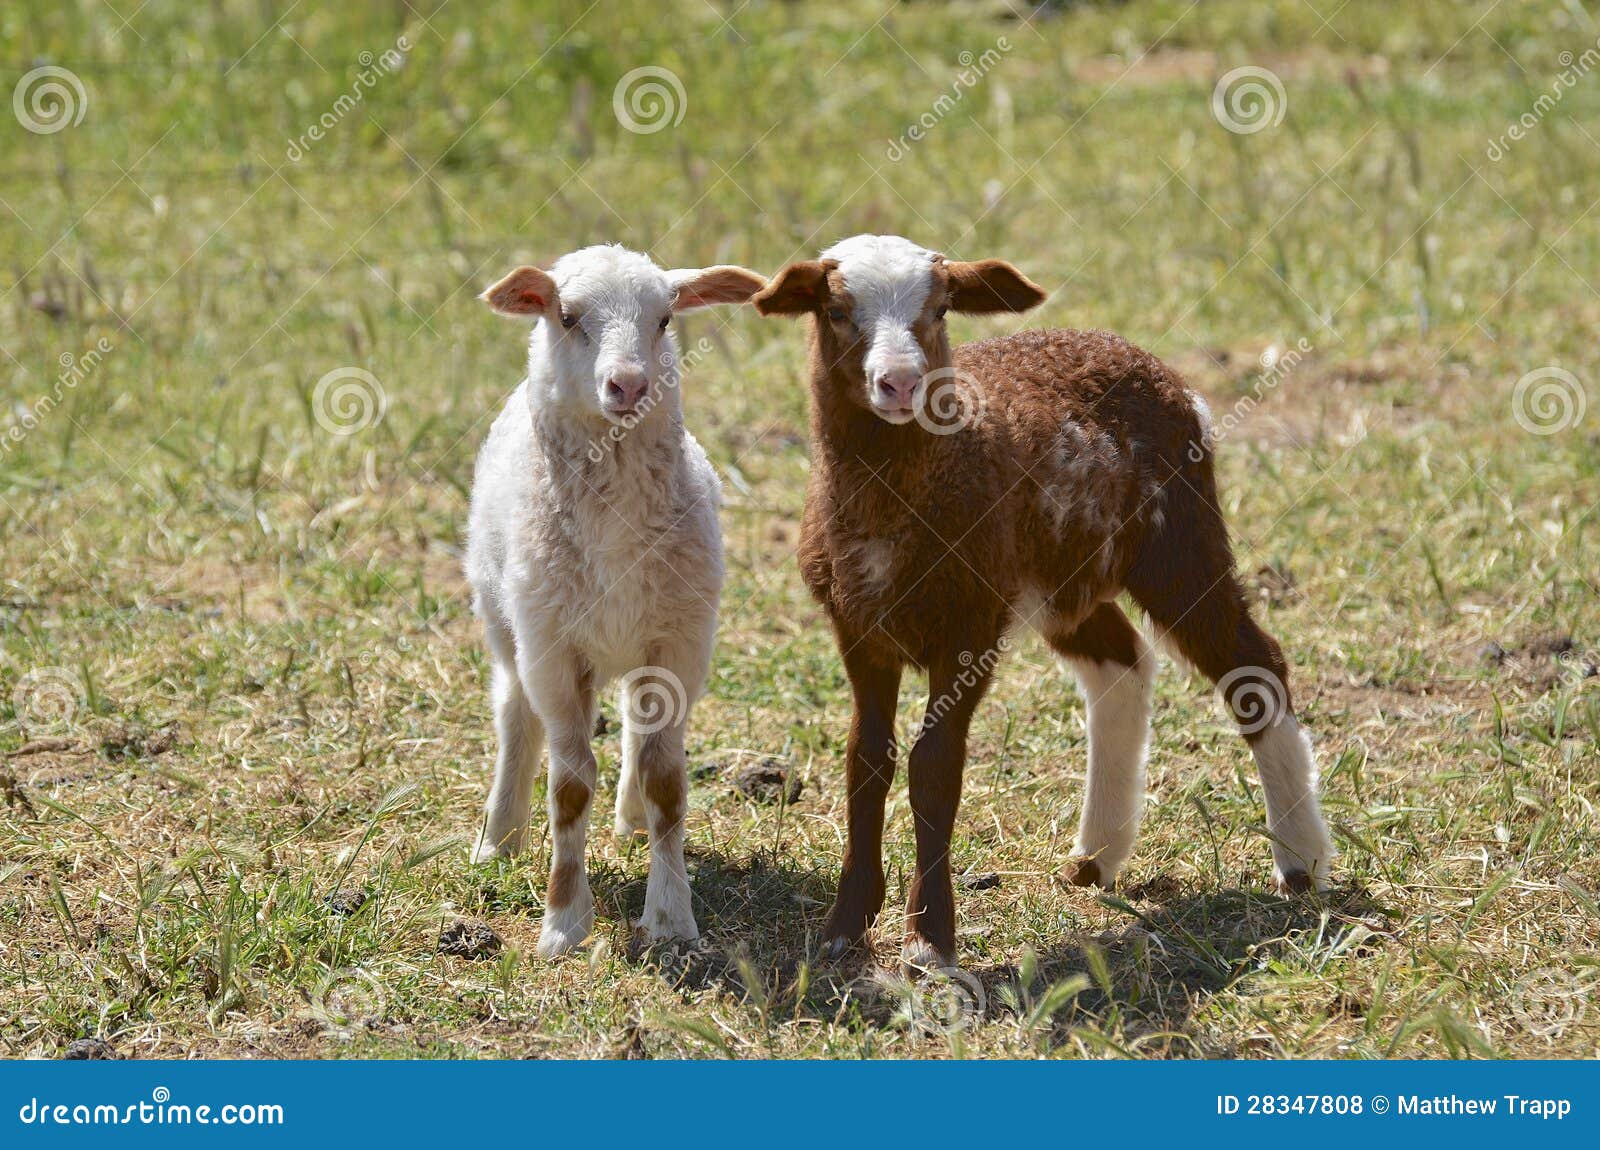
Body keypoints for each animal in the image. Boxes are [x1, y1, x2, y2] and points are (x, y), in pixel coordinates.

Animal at [467, 244, 765, 958]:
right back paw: (499, 839)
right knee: (514, 717)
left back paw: (629, 817)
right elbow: (570, 787)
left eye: (665, 319)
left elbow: (667, 782)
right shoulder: (552, 650)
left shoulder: (679, 640)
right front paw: (563, 922)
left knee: (636, 726)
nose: (629, 385)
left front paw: (671, 917)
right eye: (568, 316)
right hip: (503, 620)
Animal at [753, 233, 1335, 971]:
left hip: (1179, 537)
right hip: (1067, 575)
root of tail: (1139, 356)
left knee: (1252, 663)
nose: (901, 383)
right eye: (834, 311)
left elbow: (934, 767)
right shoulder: (858, 627)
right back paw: (1098, 856)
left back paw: (1301, 860)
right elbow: (867, 760)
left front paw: (929, 939)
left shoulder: (970, 624)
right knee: (1121, 663)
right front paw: (846, 924)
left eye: (940, 309)